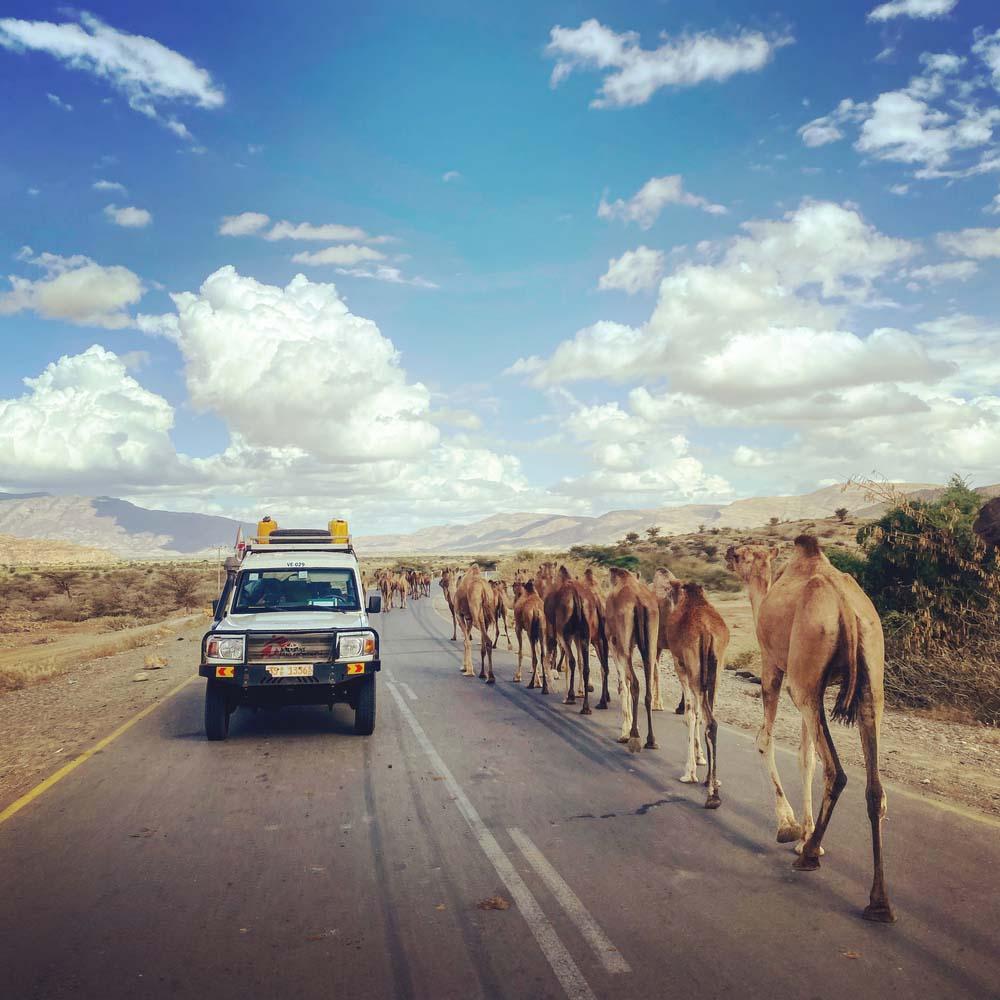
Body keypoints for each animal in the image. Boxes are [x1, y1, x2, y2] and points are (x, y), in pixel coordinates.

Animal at [604, 568, 660, 752]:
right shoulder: (631, 645)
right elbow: (626, 683)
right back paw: (651, 740)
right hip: (651, 643)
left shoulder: (614, 643)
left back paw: (634, 737)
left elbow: (624, 684)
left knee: (635, 683)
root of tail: (639, 601)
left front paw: (624, 732)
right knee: (647, 688)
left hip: (622, 642)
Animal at [664, 580, 728, 804]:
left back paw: (711, 795)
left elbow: (690, 712)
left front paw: (689, 772)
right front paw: (700, 759)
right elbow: (698, 713)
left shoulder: (680, 665)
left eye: (668, 591)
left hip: (693, 669)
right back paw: (712, 783)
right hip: (717, 670)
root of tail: (707, 632)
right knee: (711, 720)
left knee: (707, 718)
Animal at [724, 540, 896, 920]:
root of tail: (846, 606)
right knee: (874, 787)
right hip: (869, 682)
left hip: (803, 679)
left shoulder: (773, 667)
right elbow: (806, 758)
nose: (727, 552)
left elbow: (765, 739)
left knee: (838, 771)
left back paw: (809, 856)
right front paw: (804, 832)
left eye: (742, 553)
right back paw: (879, 902)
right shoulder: (811, 687)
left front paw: (790, 830)